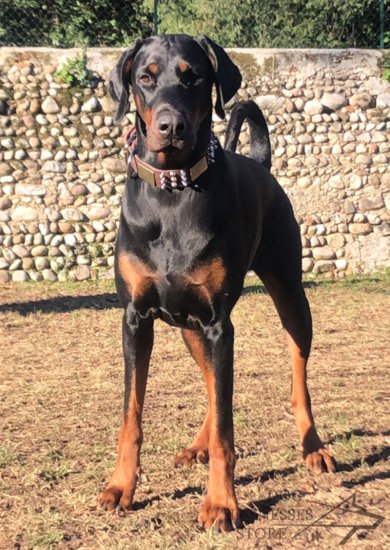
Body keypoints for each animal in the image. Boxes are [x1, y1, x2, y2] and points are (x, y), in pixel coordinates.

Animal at [98, 33, 336, 532]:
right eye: (144, 77)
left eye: (195, 77)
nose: (170, 125)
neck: (172, 192)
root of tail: (260, 163)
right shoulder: (136, 319)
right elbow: (132, 415)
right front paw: (121, 487)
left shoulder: (217, 324)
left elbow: (228, 425)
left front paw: (222, 502)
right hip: (189, 326)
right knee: (211, 384)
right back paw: (198, 445)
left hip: (289, 295)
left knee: (298, 372)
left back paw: (313, 446)